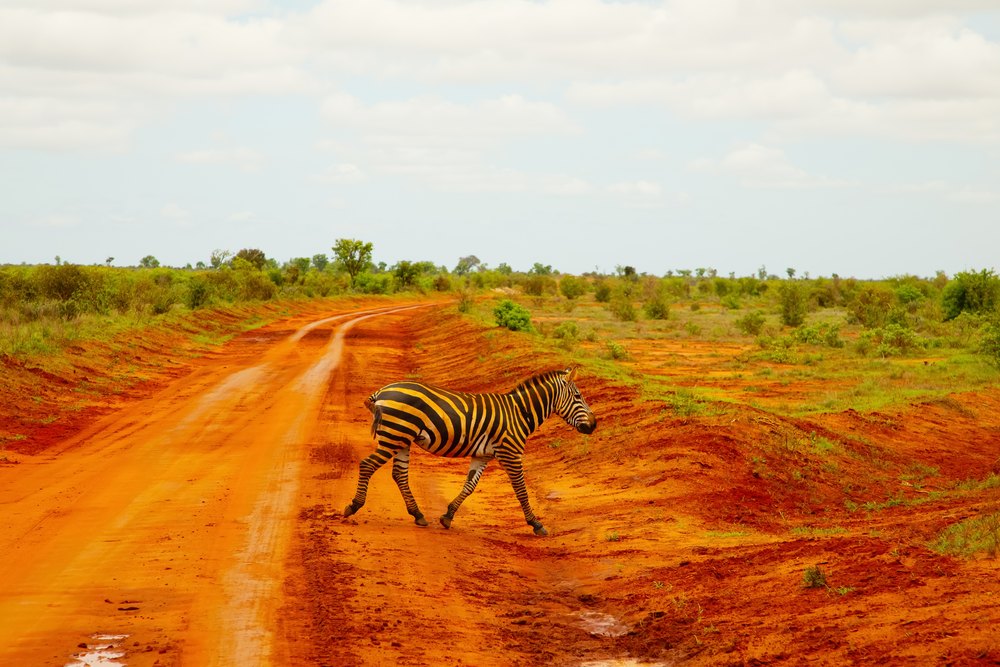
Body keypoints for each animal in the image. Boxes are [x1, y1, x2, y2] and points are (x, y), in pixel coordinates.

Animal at [342, 367, 597, 536]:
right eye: (578, 396)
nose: (594, 425)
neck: (519, 413)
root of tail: (382, 391)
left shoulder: (482, 455)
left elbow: (469, 486)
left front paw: (447, 516)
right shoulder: (511, 454)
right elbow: (521, 491)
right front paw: (536, 524)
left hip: (402, 438)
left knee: (399, 475)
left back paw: (418, 515)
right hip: (395, 435)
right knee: (368, 465)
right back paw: (353, 506)